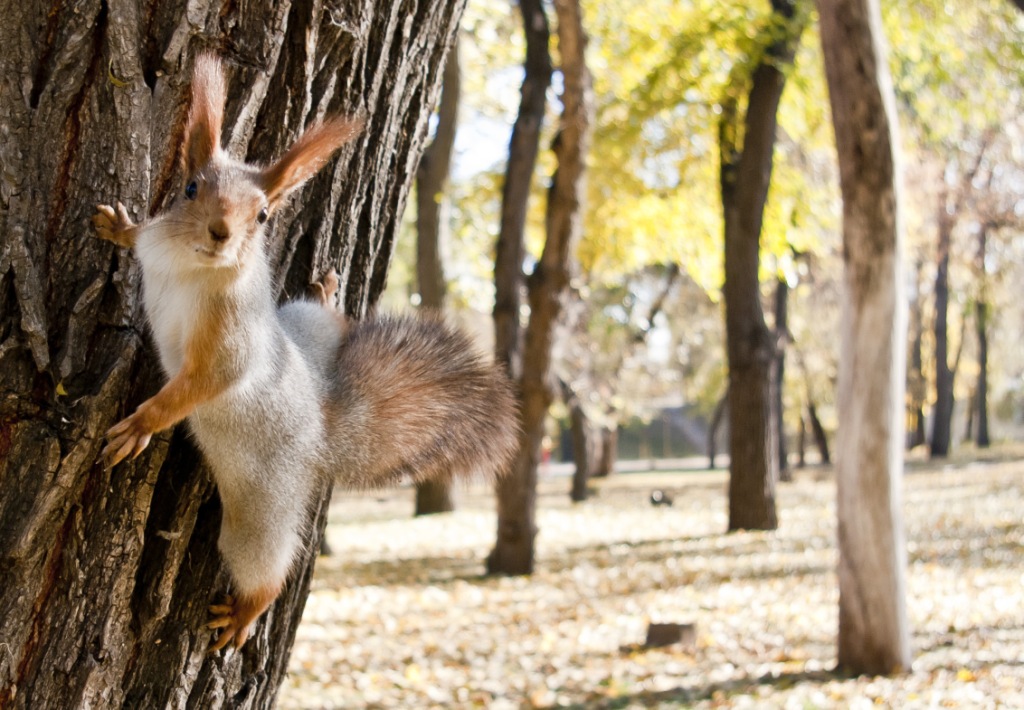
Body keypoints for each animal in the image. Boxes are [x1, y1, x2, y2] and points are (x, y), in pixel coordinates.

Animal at [92, 54, 520, 651]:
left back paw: (246, 612)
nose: (221, 233)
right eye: (191, 188)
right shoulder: (160, 246)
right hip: (300, 325)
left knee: (266, 568)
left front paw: (142, 424)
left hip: (263, 510)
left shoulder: (232, 336)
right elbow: (141, 238)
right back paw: (325, 297)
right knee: (329, 322)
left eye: (263, 216)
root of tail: (322, 428)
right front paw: (121, 227)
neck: (188, 267)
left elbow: (208, 381)